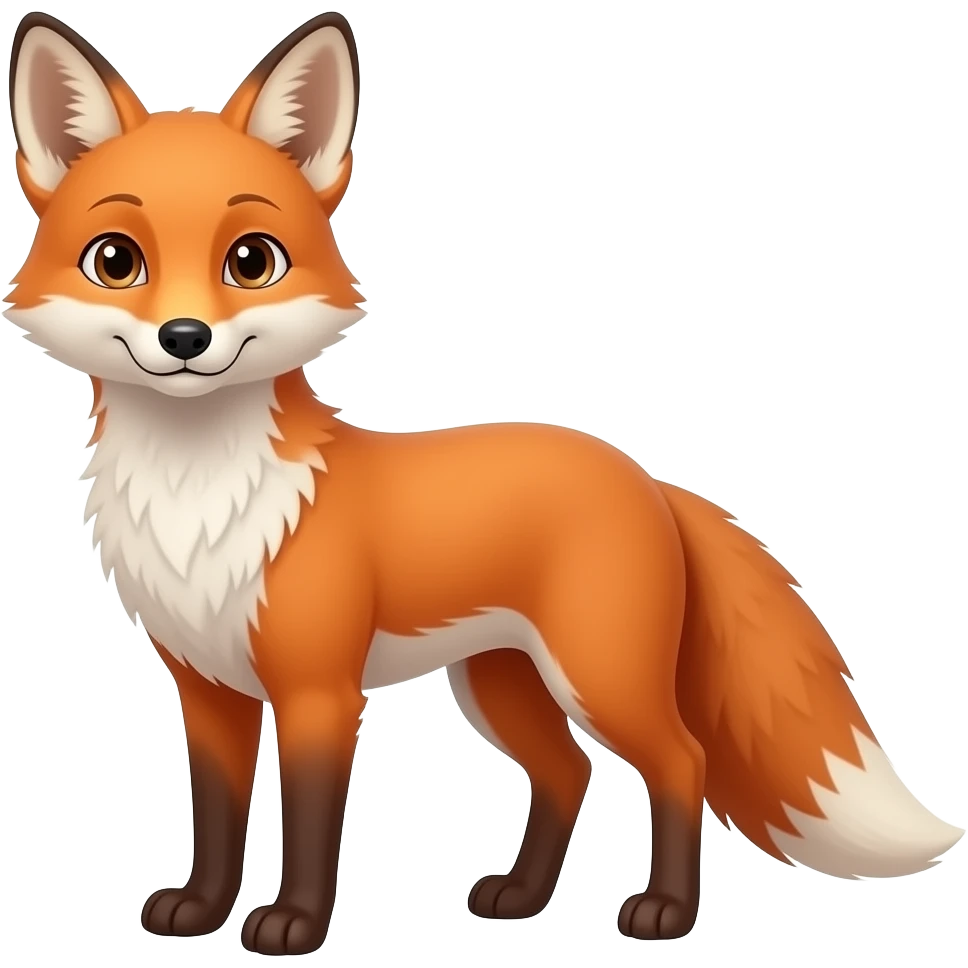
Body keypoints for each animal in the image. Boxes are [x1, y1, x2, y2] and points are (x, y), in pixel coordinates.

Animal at [4, 9, 965, 956]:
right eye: (117, 261)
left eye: (251, 260)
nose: (185, 338)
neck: (198, 501)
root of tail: (644, 475)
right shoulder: (207, 689)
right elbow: (215, 816)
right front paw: (202, 913)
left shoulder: (320, 692)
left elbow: (311, 822)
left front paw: (294, 926)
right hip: (502, 682)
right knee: (568, 771)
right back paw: (522, 898)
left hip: (598, 675)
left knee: (679, 761)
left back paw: (664, 911)